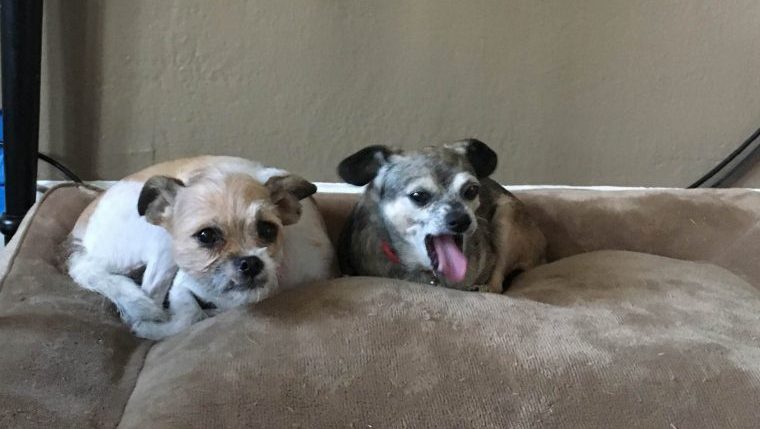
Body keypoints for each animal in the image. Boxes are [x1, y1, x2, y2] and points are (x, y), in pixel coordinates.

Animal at [63, 155, 336, 340]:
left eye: (267, 230)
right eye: (205, 236)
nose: (250, 263)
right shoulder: (182, 284)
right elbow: (188, 316)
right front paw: (152, 329)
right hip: (161, 244)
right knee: (145, 295)